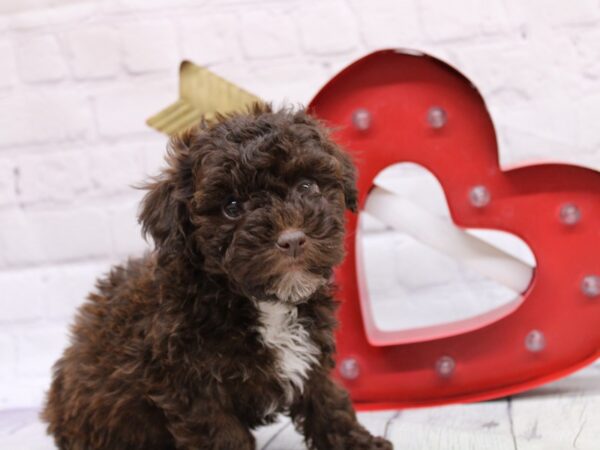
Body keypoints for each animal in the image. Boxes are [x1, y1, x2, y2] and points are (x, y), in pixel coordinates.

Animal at [42, 104, 392, 450]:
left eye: (306, 186)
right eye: (231, 206)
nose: (292, 239)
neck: (261, 304)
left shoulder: (311, 354)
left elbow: (329, 403)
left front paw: (359, 444)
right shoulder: (195, 387)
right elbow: (222, 436)